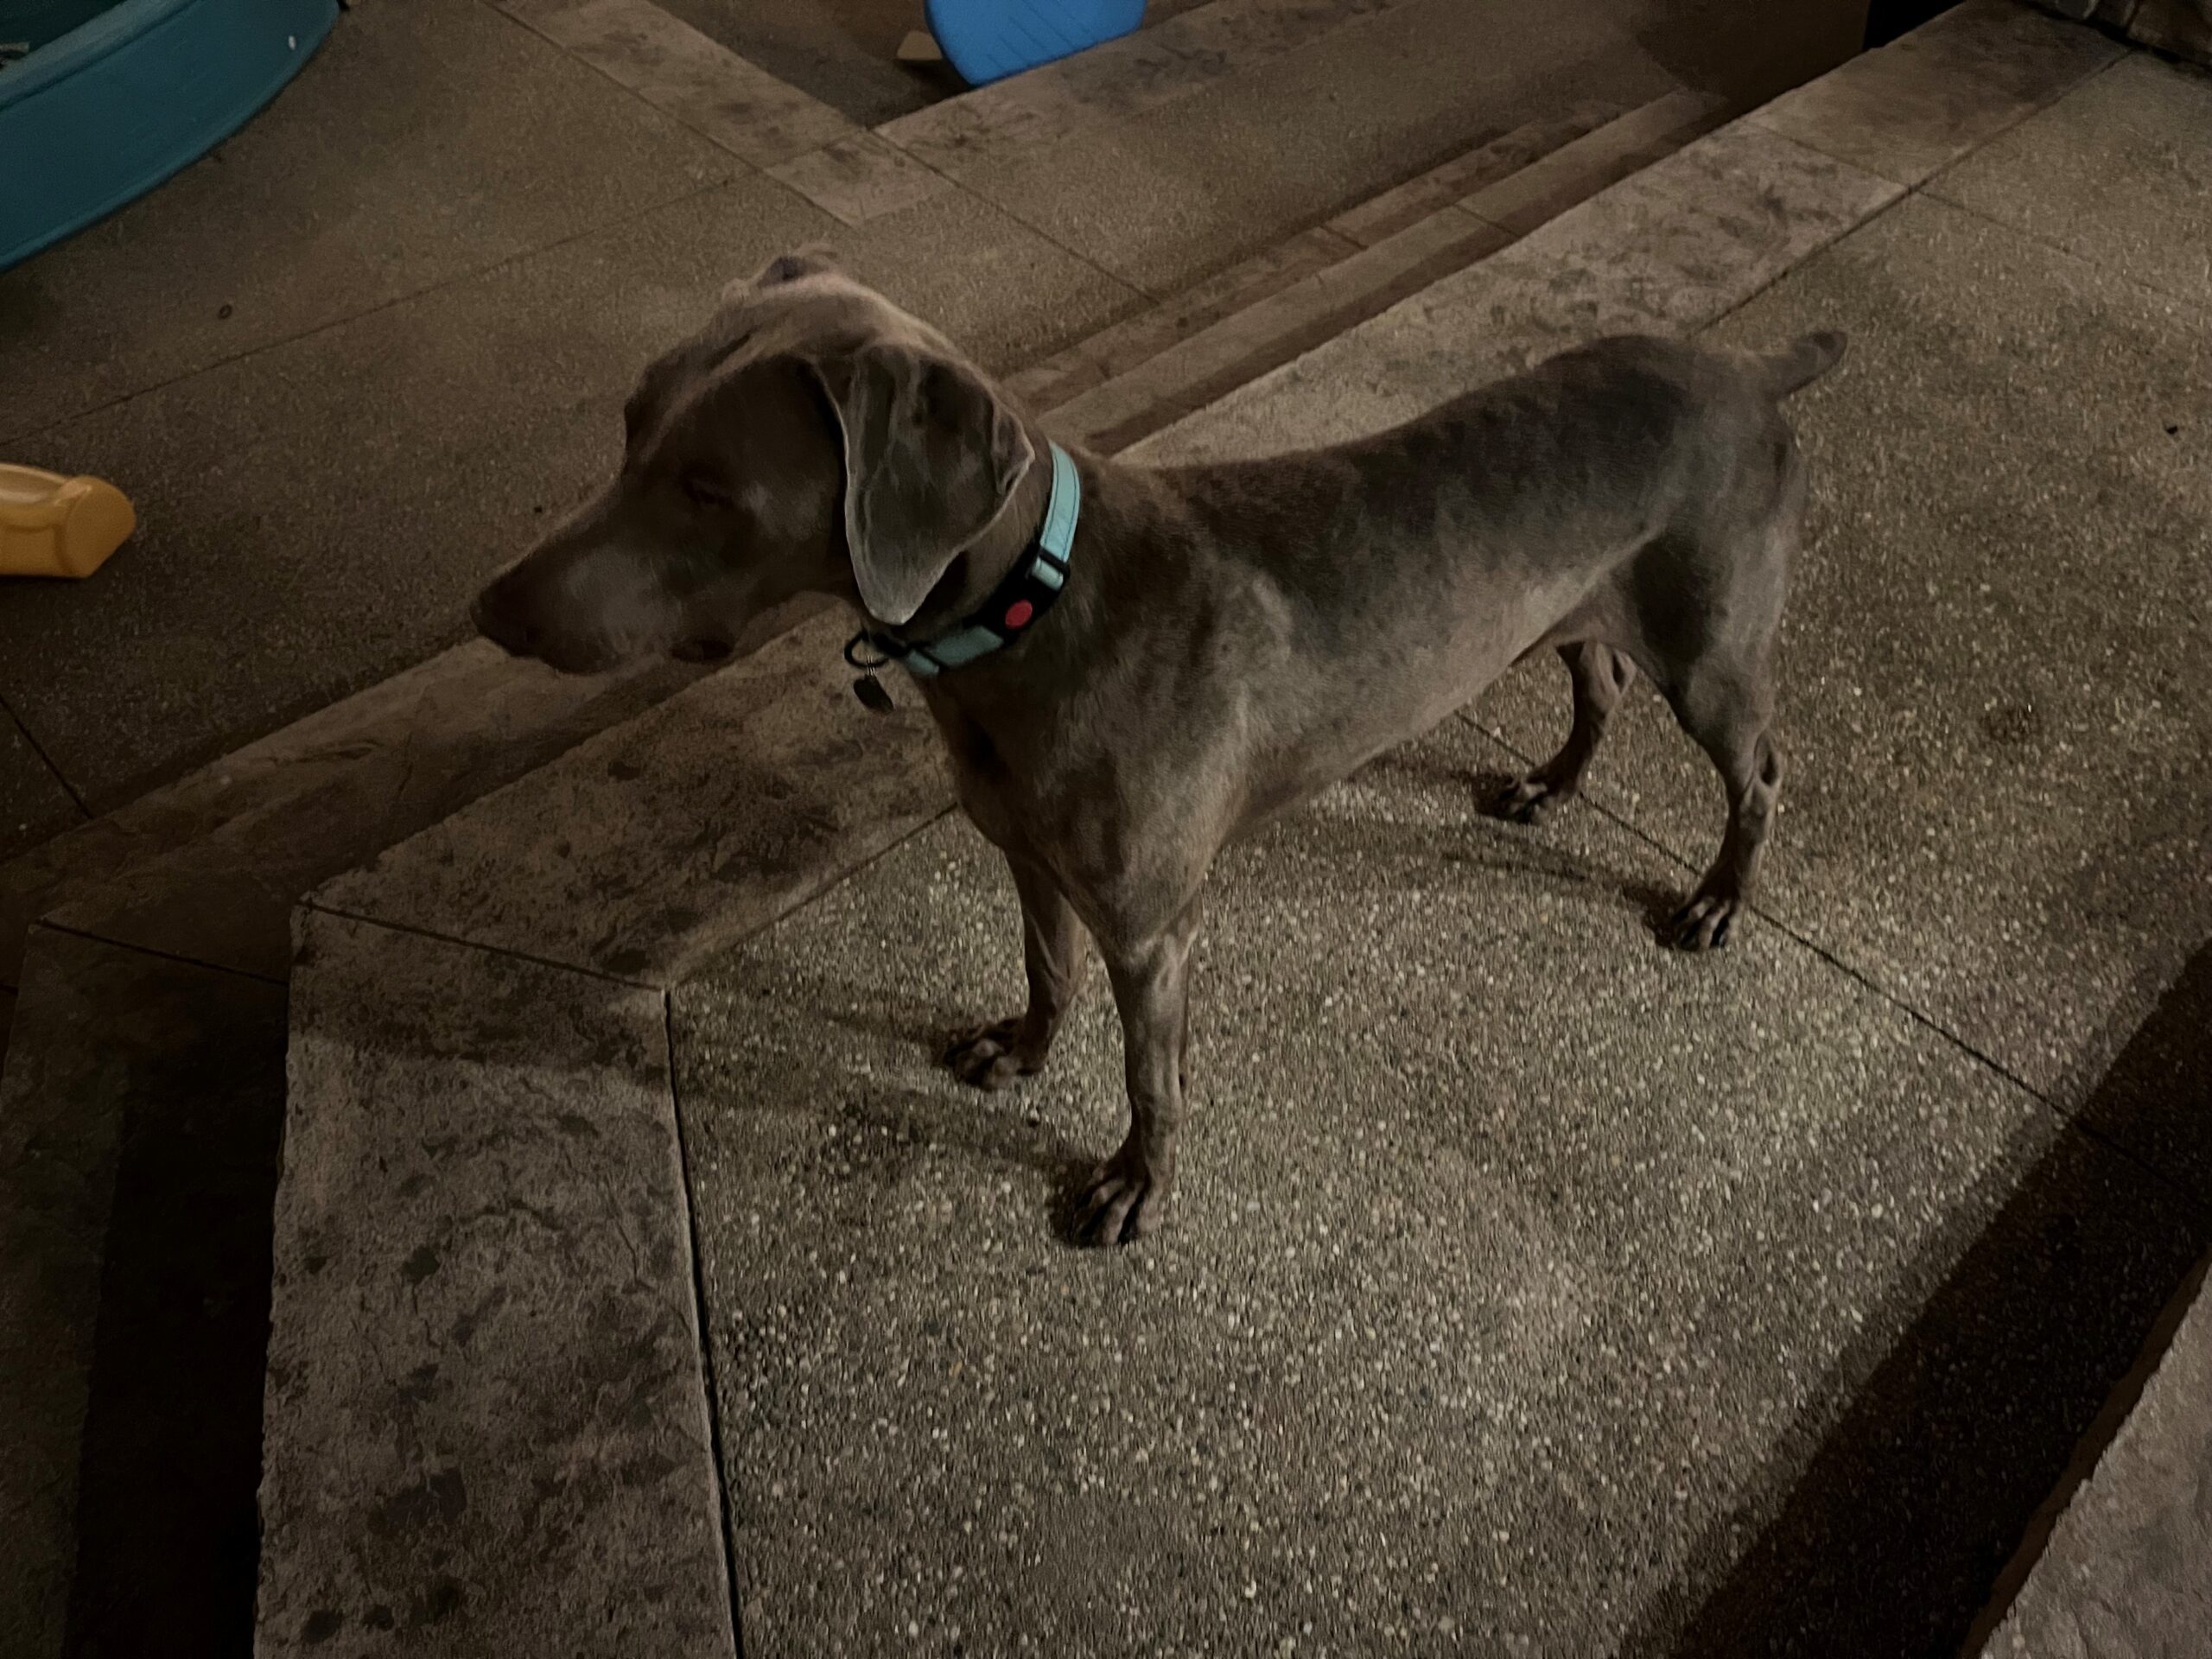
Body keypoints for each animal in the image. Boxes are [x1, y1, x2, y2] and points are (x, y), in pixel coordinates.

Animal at [475, 253, 1840, 1247]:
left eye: (710, 490)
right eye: (630, 423)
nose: (491, 610)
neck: (1030, 607)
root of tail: (1749, 371)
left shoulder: (1154, 927)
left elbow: (1152, 1073)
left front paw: (1132, 1184)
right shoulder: (1028, 856)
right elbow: (1045, 968)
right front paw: (1019, 1051)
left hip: (1711, 657)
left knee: (1760, 773)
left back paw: (1715, 899)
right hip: (1575, 610)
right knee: (1598, 683)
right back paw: (1548, 787)